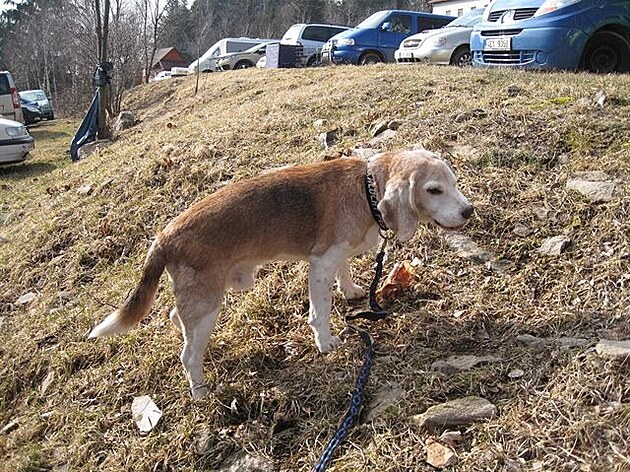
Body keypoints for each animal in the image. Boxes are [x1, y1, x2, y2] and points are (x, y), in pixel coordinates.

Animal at [89, 148, 474, 398]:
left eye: (454, 182)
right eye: (434, 190)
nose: (469, 211)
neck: (366, 188)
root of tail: (164, 236)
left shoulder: (338, 254)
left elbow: (345, 271)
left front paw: (351, 292)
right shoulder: (320, 264)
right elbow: (320, 312)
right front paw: (325, 343)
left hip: (205, 297)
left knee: (176, 318)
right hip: (207, 300)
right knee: (188, 355)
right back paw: (200, 392)